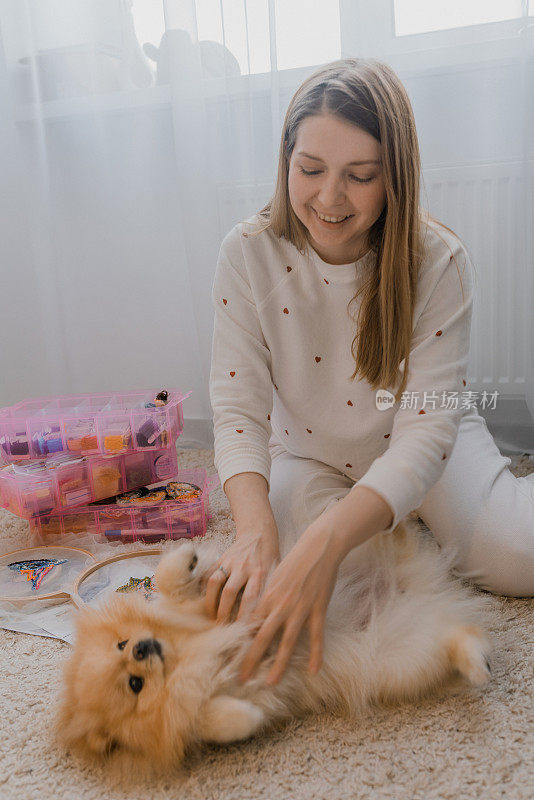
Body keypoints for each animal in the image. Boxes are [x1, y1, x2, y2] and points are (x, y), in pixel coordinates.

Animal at [55, 520, 494, 780]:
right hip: (398, 658)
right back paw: (477, 664)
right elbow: (214, 721)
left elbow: (171, 581)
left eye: (122, 642)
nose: (143, 647)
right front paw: (243, 718)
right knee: (458, 637)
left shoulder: (210, 608)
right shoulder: (228, 694)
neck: (186, 653)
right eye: (134, 684)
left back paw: (399, 522)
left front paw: (186, 555)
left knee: (397, 543)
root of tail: (427, 589)